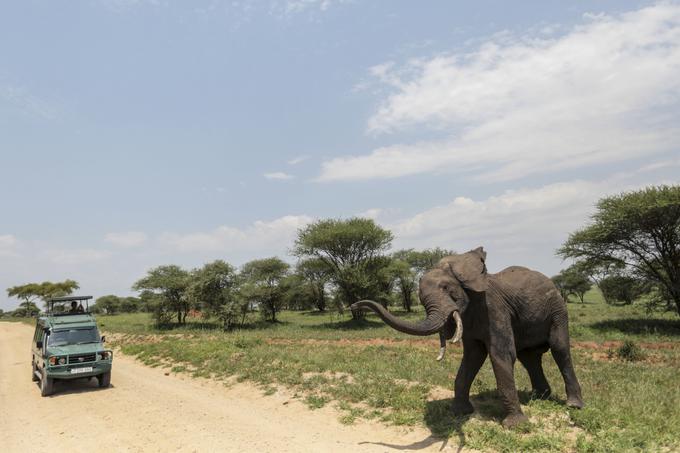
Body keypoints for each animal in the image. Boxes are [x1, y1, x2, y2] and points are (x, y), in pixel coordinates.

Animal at [350, 247, 584, 428]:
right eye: (421, 298)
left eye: (446, 288)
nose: (354, 305)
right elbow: (472, 357)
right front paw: (460, 412)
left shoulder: (494, 309)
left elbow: (501, 355)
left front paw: (516, 426)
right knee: (529, 356)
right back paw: (540, 397)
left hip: (558, 311)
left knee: (560, 349)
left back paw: (573, 405)